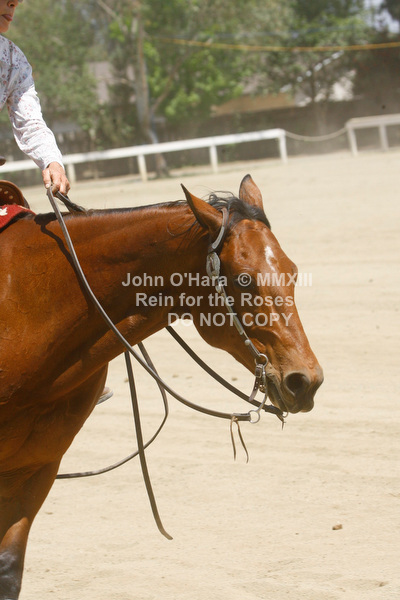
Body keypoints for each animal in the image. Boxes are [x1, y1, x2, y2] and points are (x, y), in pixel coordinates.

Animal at [0, 174, 323, 599]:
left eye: (293, 271)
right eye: (243, 279)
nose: (306, 381)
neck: (29, 304)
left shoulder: (35, 469)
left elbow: (8, 570)